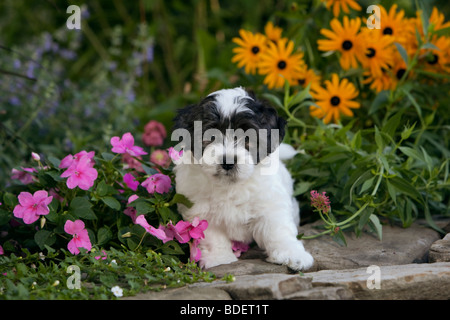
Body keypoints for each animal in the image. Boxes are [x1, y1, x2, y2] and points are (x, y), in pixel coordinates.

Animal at [171, 87, 312, 270]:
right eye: (211, 136)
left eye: (247, 137)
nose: (228, 161)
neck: (230, 185)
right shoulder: (200, 211)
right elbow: (212, 236)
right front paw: (219, 259)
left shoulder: (270, 204)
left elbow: (278, 230)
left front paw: (293, 255)